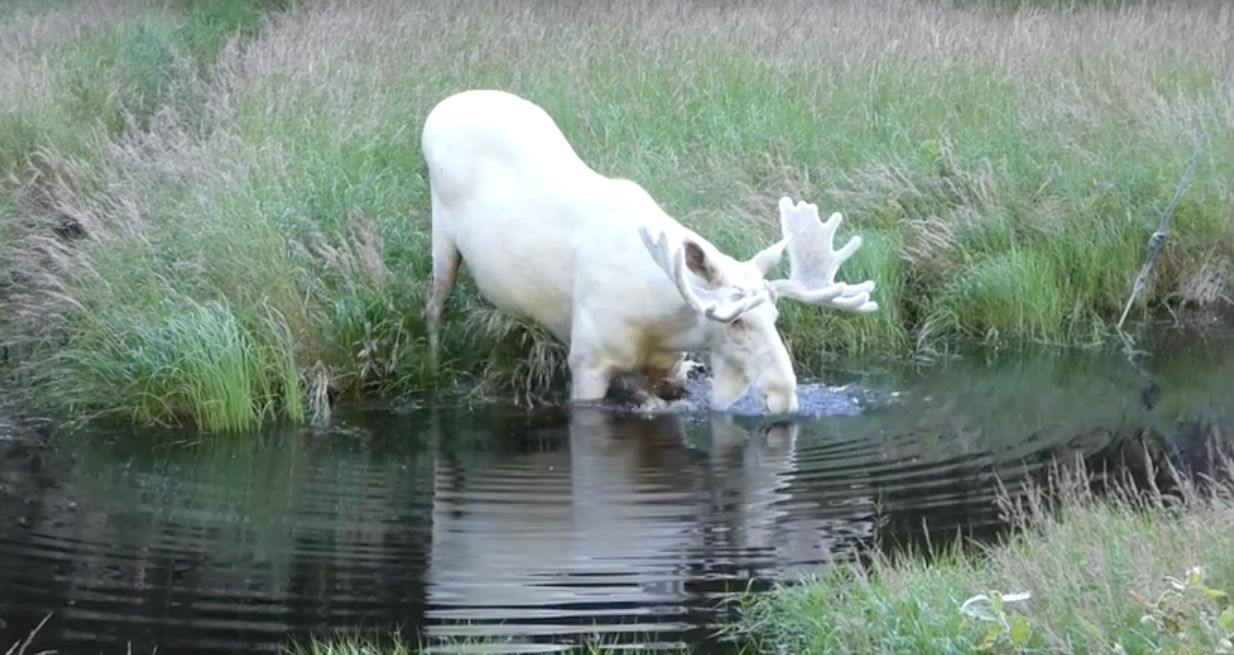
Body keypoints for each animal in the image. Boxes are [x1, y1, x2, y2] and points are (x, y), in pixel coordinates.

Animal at [424, 88, 878, 411]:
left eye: (774, 315)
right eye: (736, 322)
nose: (784, 395)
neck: (660, 321)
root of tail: (437, 111)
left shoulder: (667, 367)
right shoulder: (587, 362)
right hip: (441, 236)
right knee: (433, 305)